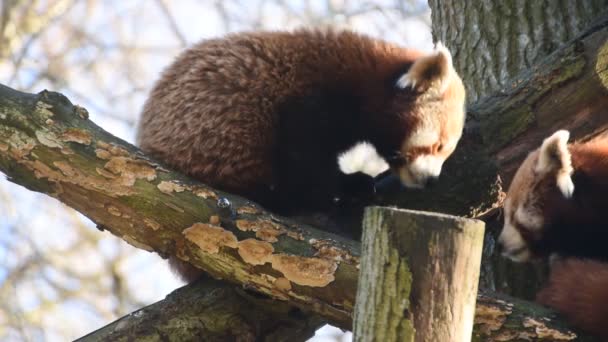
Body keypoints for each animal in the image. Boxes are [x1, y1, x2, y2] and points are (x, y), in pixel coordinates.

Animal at [138, 30, 468, 284]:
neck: (361, 83)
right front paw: (340, 192)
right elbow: (306, 162)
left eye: (445, 150)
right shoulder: (306, 103)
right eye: (438, 146)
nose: (431, 179)